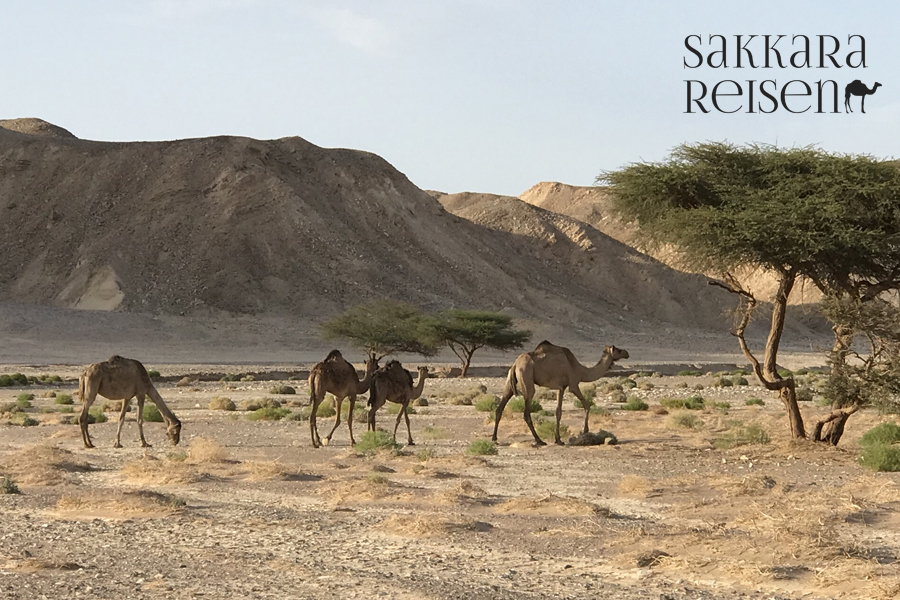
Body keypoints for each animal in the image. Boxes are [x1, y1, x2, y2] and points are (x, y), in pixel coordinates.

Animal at [492, 342, 632, 446]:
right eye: (618, 350)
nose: (627, 353)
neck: (580, 369)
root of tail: (515, 364)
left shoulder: (561, 387)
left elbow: (558, 411)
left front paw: (558, 439)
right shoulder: (573, 384)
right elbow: (586, 405)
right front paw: (584, 431)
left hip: (510, 382)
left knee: (500, 408)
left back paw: (494, 439)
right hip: (526, 377)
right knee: (526, 412)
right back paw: (539, 441)